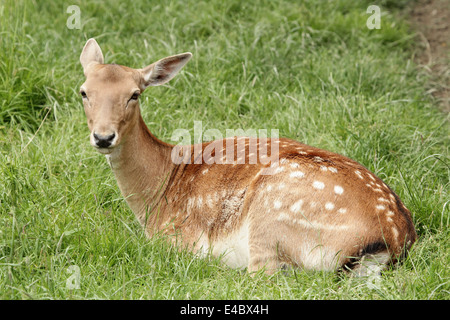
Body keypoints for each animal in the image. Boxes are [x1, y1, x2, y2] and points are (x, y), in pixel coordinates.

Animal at [79, 38, 416, 278]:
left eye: (135, 94)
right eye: (83, 92)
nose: (103, 137)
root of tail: (393, 237)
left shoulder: (176, 239)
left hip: (272, 216)